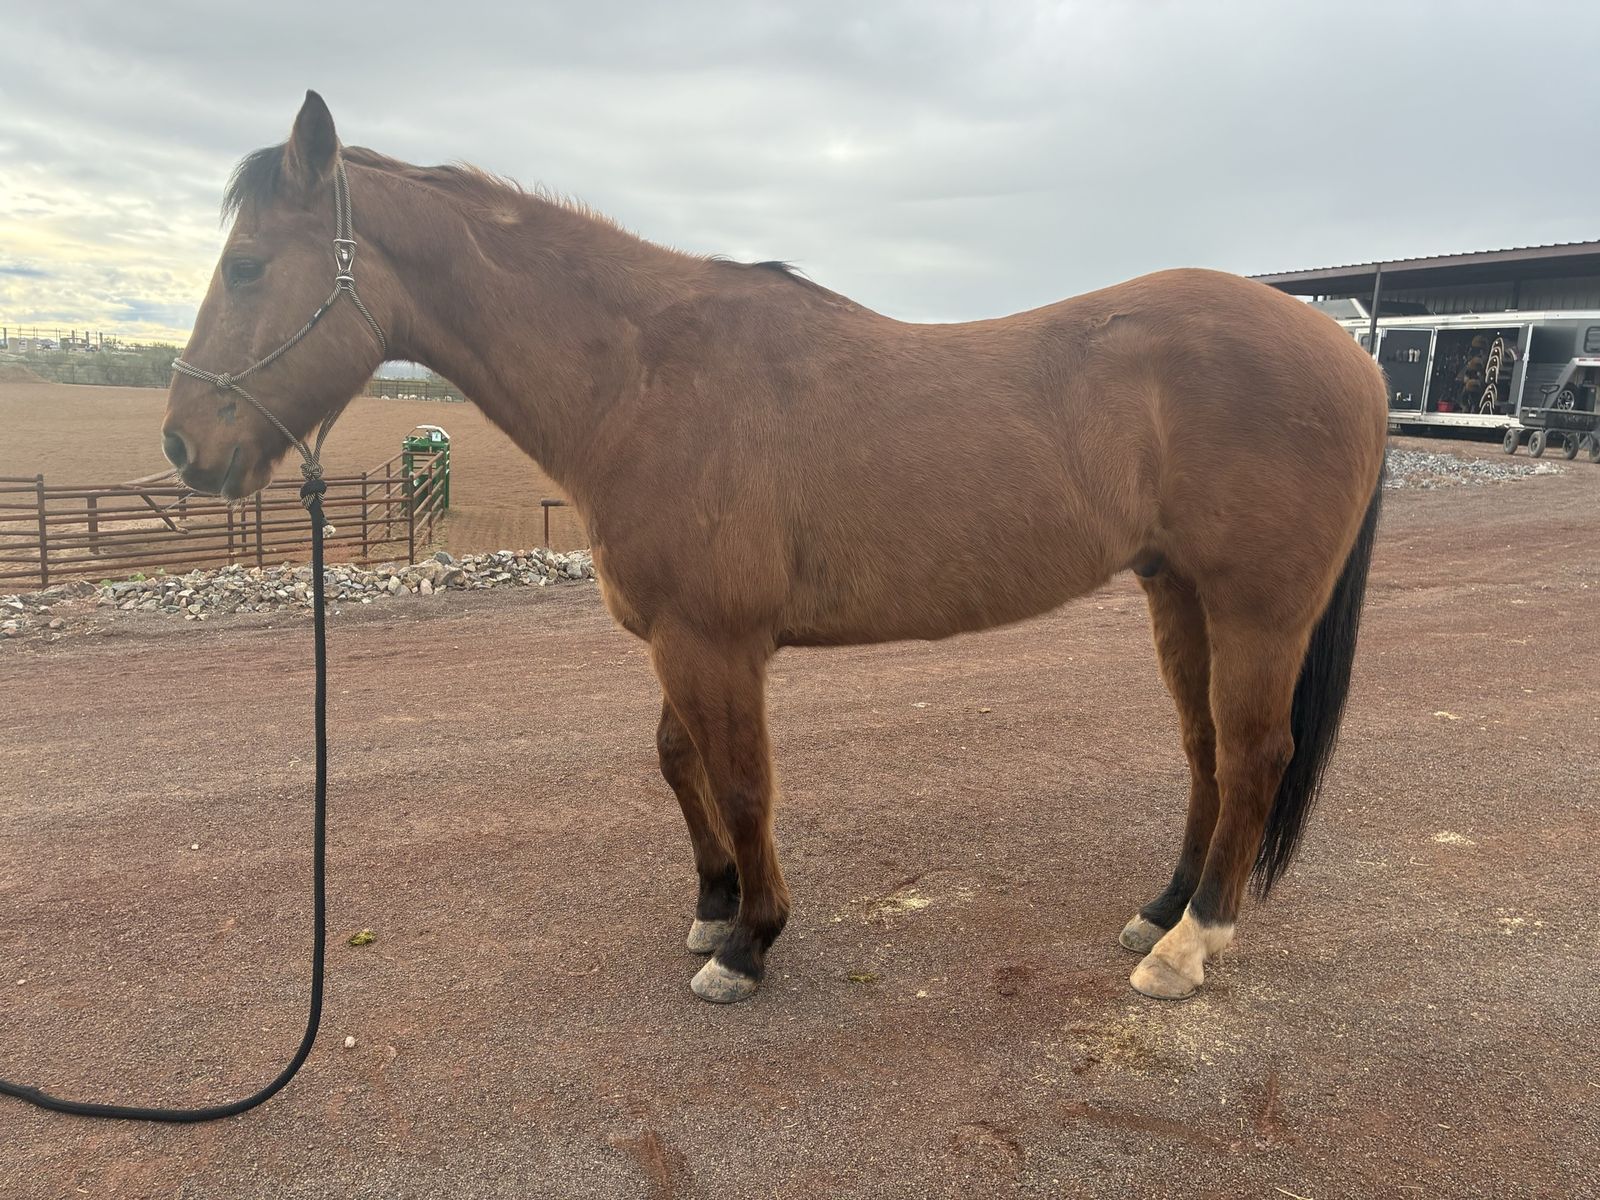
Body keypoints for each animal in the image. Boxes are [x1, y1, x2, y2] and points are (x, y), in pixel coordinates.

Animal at [162, 91, 1387, 1005]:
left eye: (248, 266)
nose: (183, 445)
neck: (645, 377)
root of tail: (1348, 350)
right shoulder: (679, 640)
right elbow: (677, 761)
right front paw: (713, 908)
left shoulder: (715, 641)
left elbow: (743, 781)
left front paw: (751, 943)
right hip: (1178, 594)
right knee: (1203, 753)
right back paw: (1162, 910)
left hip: (1258, 607)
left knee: (1254, 755)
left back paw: (1191, 947)